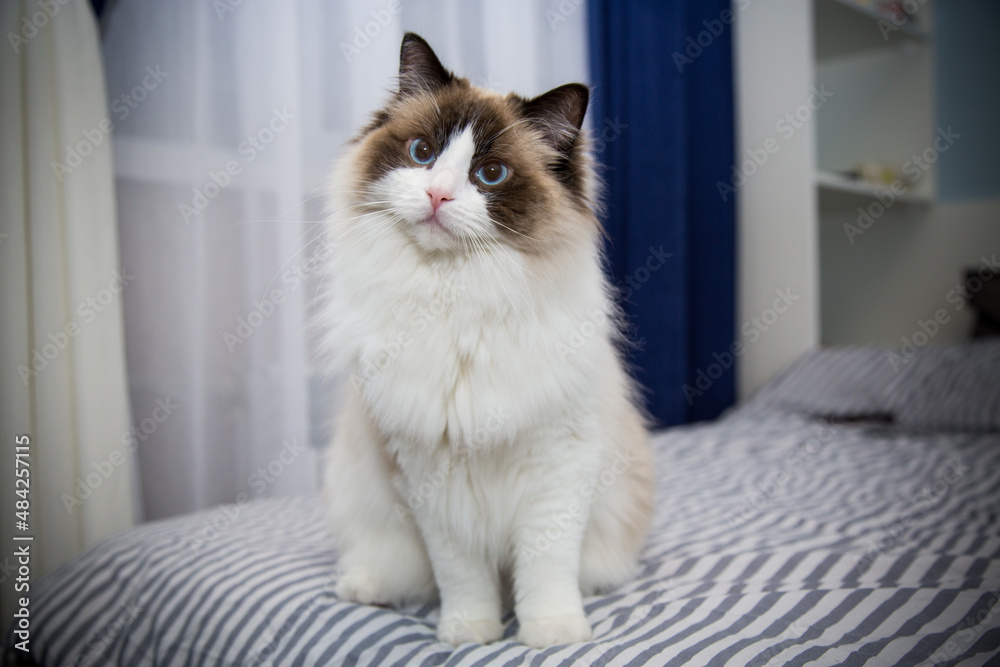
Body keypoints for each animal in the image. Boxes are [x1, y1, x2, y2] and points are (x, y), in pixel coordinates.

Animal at [316, 32, 652, 652]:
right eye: (422, 153)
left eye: (490, 174)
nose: (437, 195)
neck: (455, 301)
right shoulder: (428, 476)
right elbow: (462, 576)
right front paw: (471, 634)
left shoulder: (558, 466)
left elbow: (545, 569)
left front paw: (553, 635)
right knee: (383, 565)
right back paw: (364, 588)